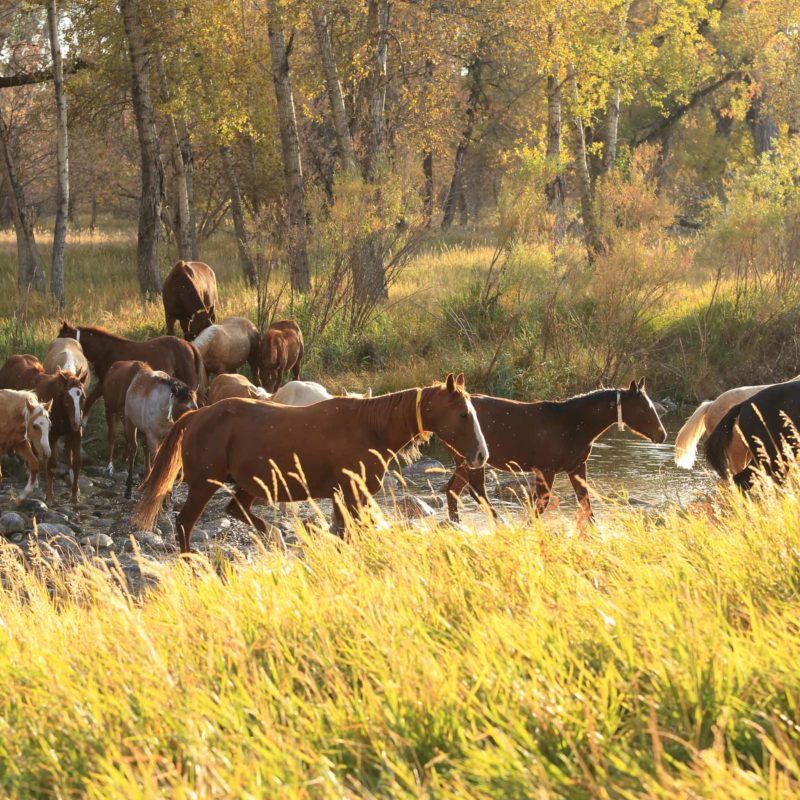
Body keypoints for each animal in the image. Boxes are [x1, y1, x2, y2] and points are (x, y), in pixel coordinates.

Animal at [0, 354, 87, 500]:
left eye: (83, 397)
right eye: (67, 397)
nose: (76, 423)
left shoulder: (75, 434)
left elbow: (76, 463)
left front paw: (75, 493)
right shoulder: (50, 436)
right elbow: (51, 464)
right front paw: (50, 495)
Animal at [58, 322, 209, 416]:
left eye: (62, 336)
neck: (106, 351)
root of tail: (189, 345)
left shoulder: (106, 383)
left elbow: (90, 401)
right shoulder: (104, 383)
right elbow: (90, 400)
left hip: (189, 379)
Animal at [122, 364, 198, 496]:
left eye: (196, 408)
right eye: (182, 409)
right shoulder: (152, 436)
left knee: (145, 450)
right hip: (130, 424)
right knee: (134, 450)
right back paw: (129, 489)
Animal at [134, 374, 488, 552]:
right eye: (463, 414)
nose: (482, 455)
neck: (369, 428)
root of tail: (197, 415)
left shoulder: (346, 497)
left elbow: (348, 533)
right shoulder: (352, 495)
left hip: (250, 485)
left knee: (235, 510)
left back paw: (275, 536)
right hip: (203, 485)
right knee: (185, 523)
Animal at [444, 378, 668, 520]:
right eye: (644, 408)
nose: (662, 434)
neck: (574, 425)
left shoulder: (576, 467)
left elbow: (586, 504)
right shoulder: (546, 469)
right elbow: (540, 506)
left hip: (465, 461)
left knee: (453, 490)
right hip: (473, 460)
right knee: (476, 491)